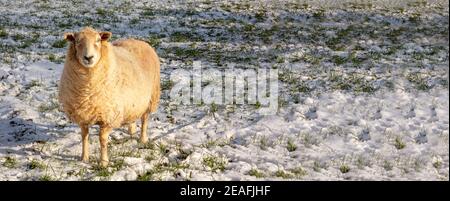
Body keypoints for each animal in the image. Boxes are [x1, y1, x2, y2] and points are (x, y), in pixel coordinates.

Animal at [57, 27, 160, 167]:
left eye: (98, 40)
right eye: (77, 41)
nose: (88, 57)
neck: (87, 91)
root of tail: (138, 41)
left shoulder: (109, 116)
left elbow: (102, 139)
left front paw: (103, 162)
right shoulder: (83, 115)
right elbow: (84, 136)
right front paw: (84, 158)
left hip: (150, 97)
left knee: (144, 119)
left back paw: (143, 139)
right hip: (131, 101)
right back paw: (131, 131)